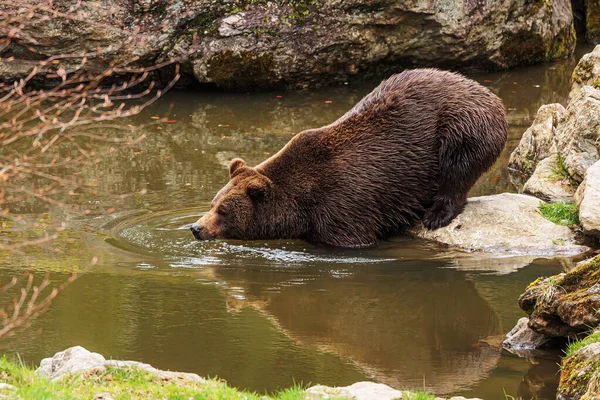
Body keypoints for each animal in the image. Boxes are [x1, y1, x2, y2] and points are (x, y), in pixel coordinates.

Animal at [191, 68, 506, 247]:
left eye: (223, 210)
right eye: (213, 202)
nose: (196, 227)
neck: (300, 206)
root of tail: (486, 90)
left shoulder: (344, 206)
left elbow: (351, 239)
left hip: (461, 123)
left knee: (457, 167)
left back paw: (436, 214)